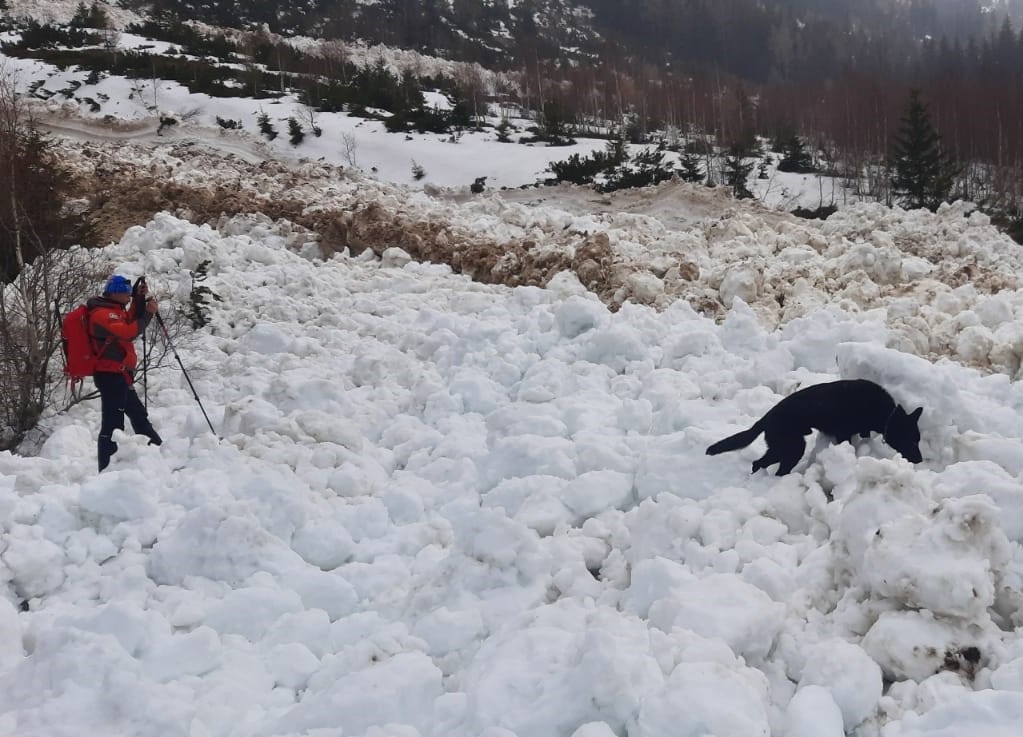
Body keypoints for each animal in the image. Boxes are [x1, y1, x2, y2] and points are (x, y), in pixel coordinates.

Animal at [707, 376, 924, 474]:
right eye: (911, 440)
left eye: (918, 440)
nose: (920, 460)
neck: (886, 414)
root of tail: (766, 418)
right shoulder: (843, 434)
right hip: (792, 447)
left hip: (780, 448)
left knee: (758, 463)